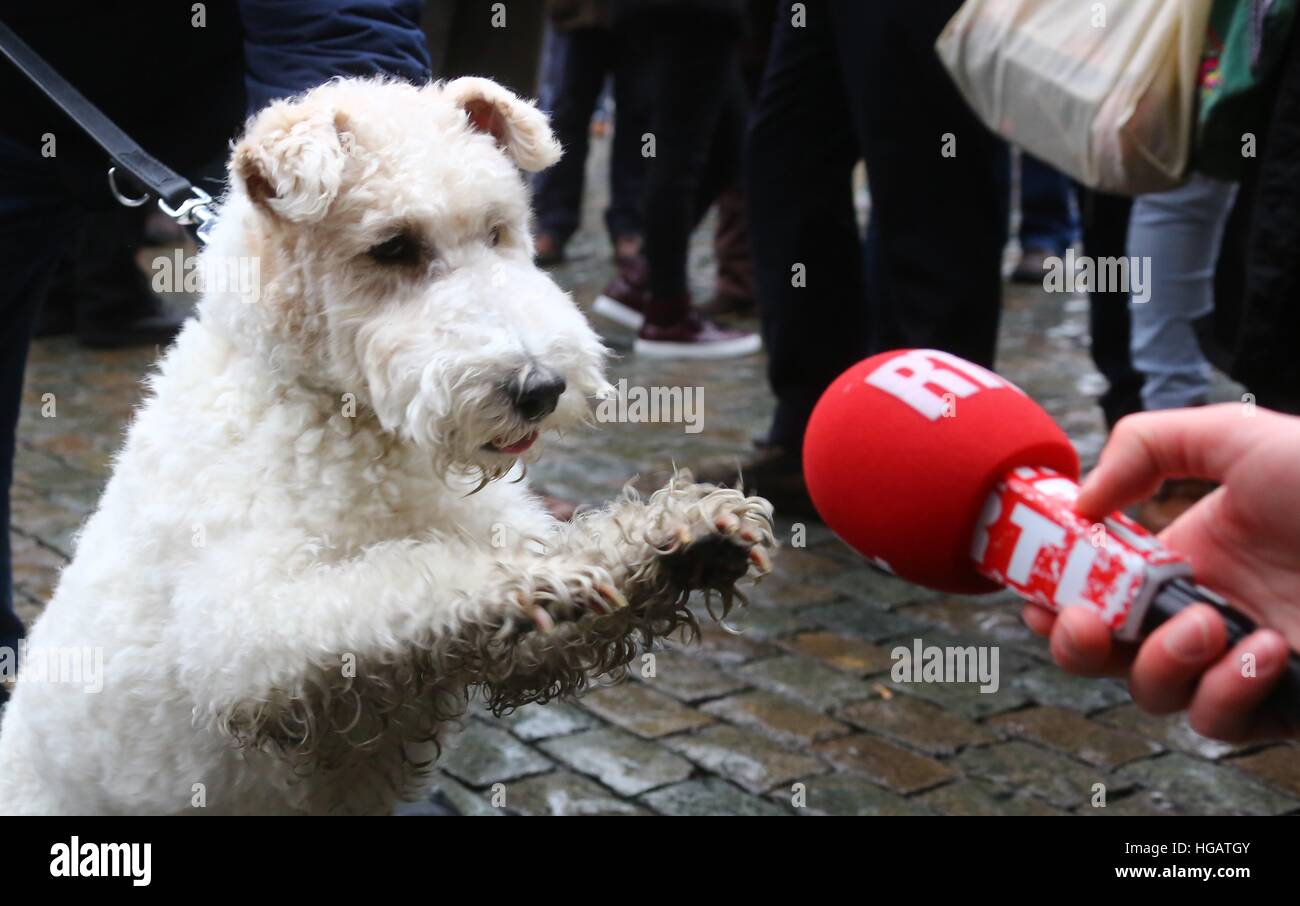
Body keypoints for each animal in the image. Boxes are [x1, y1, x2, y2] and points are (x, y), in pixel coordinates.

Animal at [0, 76, 769, 811]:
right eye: (394, 246)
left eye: (498, 230)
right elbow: (404, 583)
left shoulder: (505, 647)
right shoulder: (248, 636)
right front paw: (526, 578)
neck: (344, 424)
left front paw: (684, 538)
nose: (541, 388)